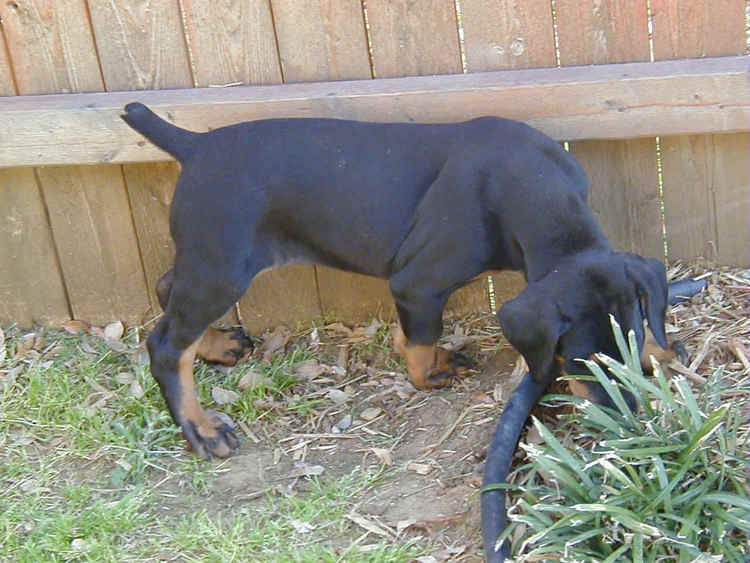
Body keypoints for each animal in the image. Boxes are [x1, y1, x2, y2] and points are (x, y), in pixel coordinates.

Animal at [122, 103, 676, 460]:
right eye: (579, 360)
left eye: (627, 350)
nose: (628, 419)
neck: (532, 184)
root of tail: (195, 145)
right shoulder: (417, 281)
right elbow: (422, 341)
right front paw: (430, 371)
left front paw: (663, 349)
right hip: (222, 261)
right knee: (166, 343)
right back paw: (200, 429)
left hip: (210, 258)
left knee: (168, 289)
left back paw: (217, 346)